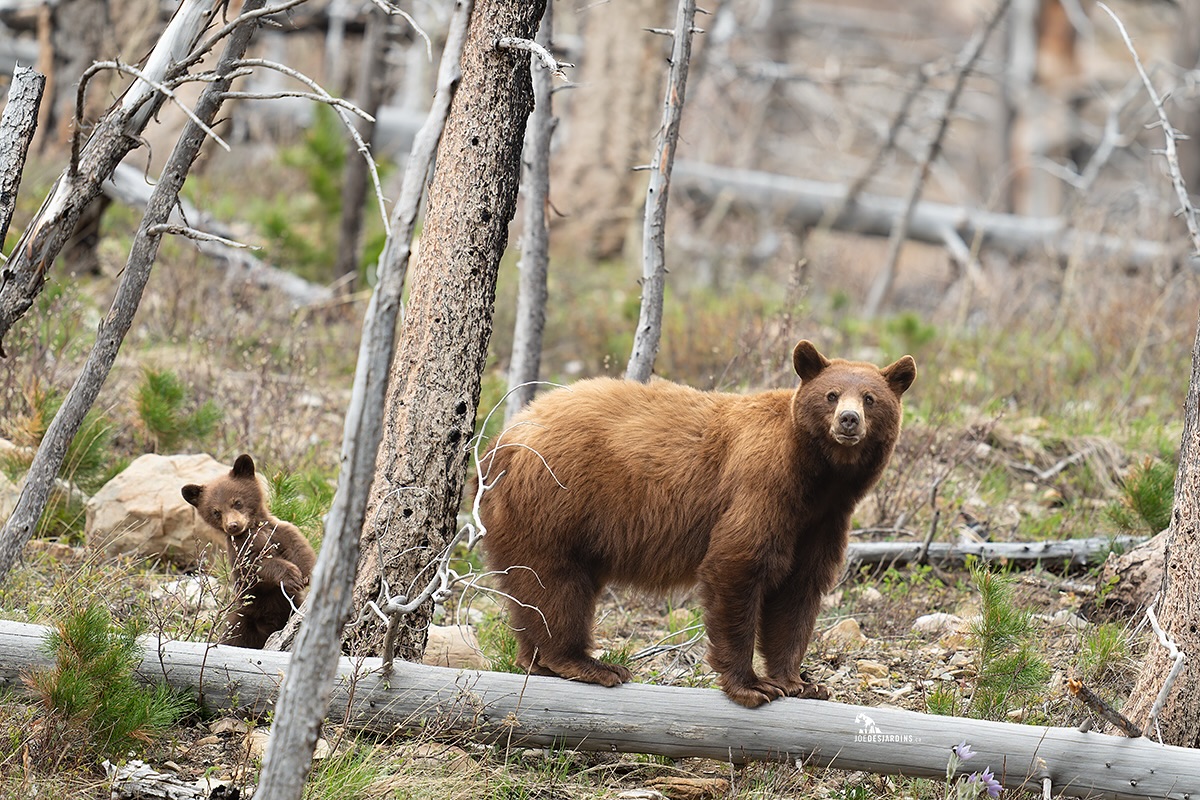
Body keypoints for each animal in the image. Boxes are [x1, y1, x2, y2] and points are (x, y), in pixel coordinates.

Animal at [181, 454, 317, 649]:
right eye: (216, 512)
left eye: (237, 502)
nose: (233, 526)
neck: (254, 529)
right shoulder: (241, 549)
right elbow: (255, 567)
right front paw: (291, 575)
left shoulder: (279, 530)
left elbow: (299, 547)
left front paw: (308, 574)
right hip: (241, 621)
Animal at [478, 340, 916, 708]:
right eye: (831, 395)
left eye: (871, 398)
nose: (848, 420)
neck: (818, 477)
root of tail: (504, 438)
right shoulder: (764, 488)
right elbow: (738, 564)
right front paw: (752, 685)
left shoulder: (822, 521)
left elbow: (799, 588)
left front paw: (799, 682)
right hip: (554, 503)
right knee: (553, 583)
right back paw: (586, 664)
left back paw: (539, 660)